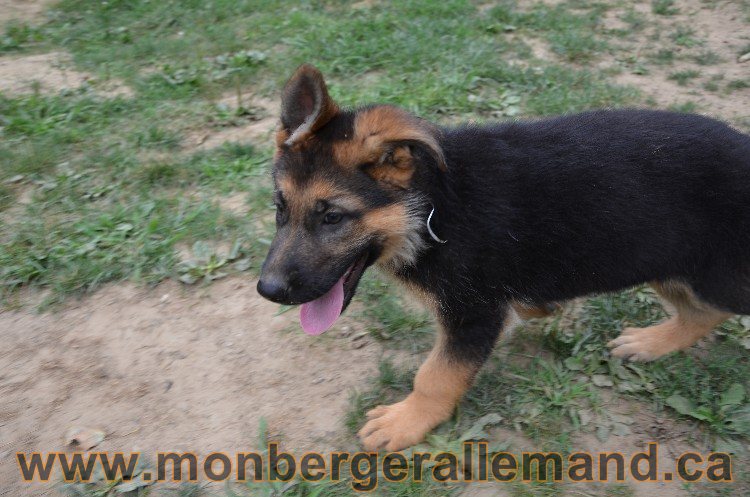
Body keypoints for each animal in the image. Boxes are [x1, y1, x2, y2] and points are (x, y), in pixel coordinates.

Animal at [258, 64, 750, 452]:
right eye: (279, 208)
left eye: (333, 217)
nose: (268, 291)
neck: (433, 206)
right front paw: (540, 305)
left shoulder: (473, 314)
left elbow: (436, 376)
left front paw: (406, 421)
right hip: (669, 260)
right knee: (700, 312)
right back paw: (649, 343)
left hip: (709, 268)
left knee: (713, 309)